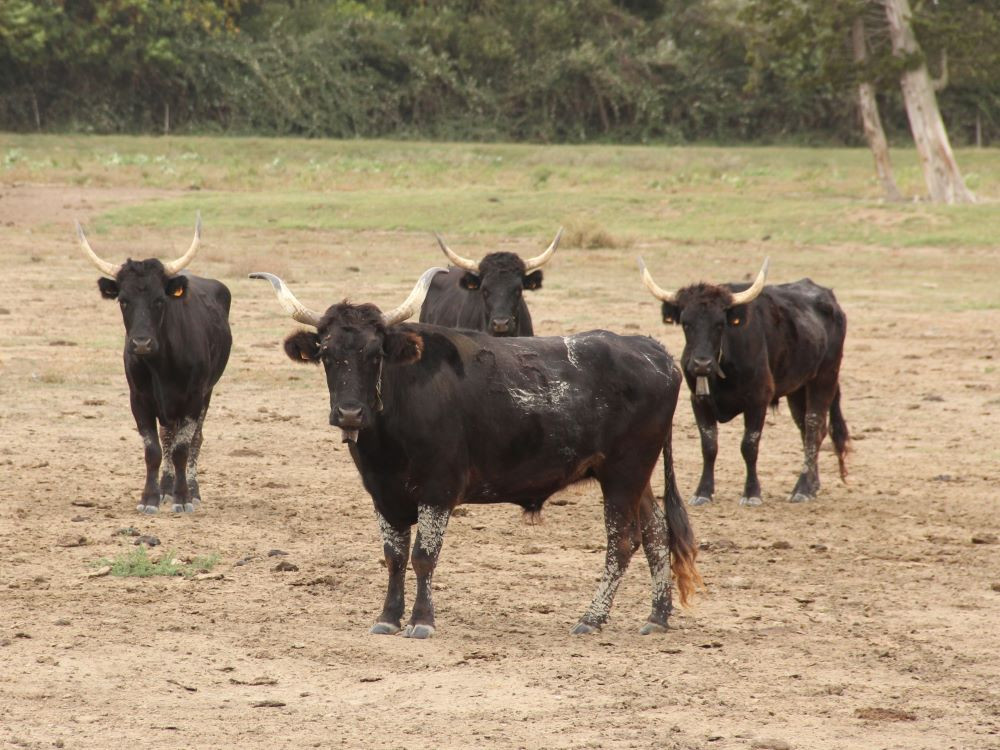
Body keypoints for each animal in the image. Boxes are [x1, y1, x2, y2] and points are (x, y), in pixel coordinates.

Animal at [78, 214, 232, 516]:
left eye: (159, 300)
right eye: (123, 300)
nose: (141, 343)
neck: (162, 366)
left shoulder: (193, 399)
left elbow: (183, 447)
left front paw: (184, 497)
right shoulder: (139, 400)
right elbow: (154, 449)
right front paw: (150, 497)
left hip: (207, 393)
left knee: (195, 440)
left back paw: (191, 490)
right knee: (167, 437)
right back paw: (165, 488)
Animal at [636, 260, 848, 512]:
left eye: (720, 324)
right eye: (686, 324)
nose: (701, 364)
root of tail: (829, 299)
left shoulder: (758, 400)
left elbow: (749, 445)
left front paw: (752, 493)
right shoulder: (699, 401)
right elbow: (709, 445)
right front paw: (703, 492)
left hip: (824, 378)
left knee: (814, 426)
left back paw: (803, 488)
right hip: (798, 389)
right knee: (807, 429)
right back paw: (813, 485)